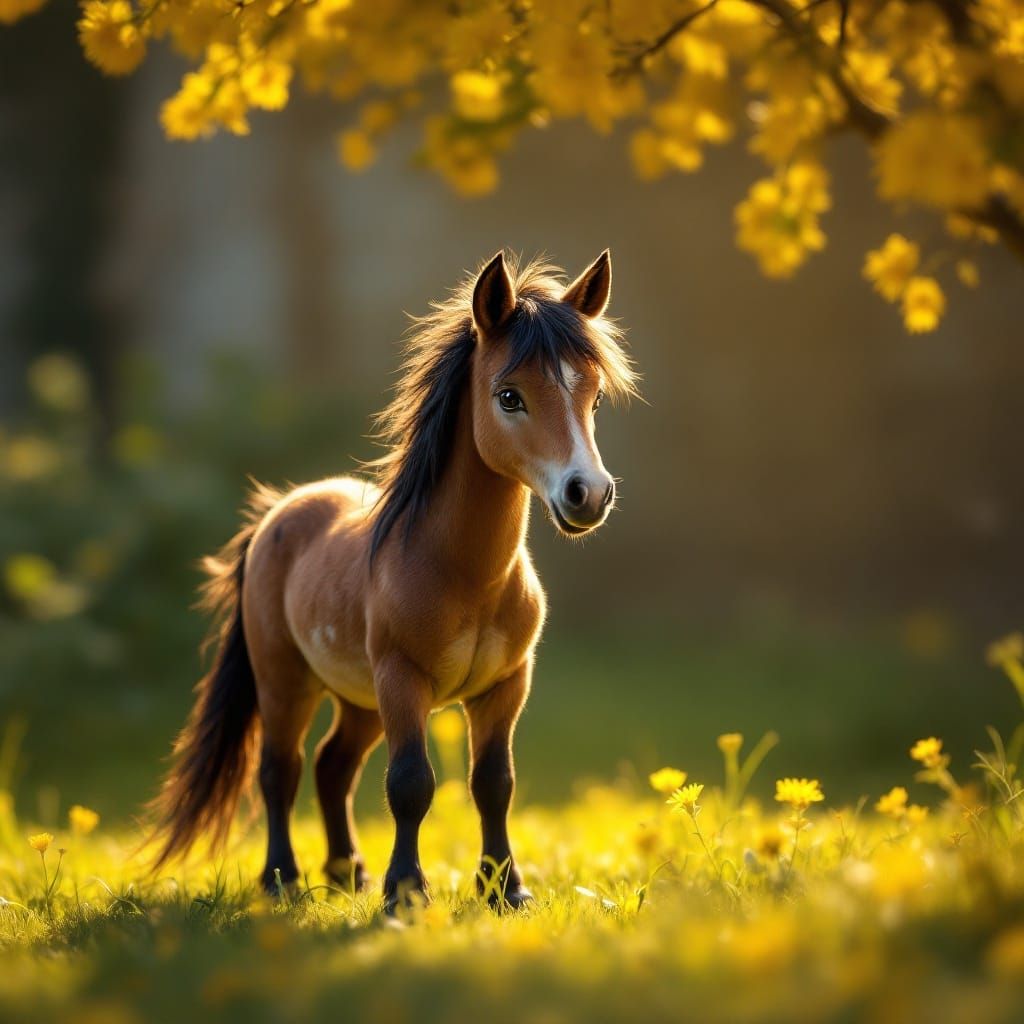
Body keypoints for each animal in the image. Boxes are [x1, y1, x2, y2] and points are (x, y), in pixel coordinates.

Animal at [149, 249, 637, 912]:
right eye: (509, 396)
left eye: (594, 397)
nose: (587, 494)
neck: (465, 575)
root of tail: (279, 511)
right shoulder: (402, 679)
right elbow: (410, 784)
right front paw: (405, 892)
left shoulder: (505, 686)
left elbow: (494, 783)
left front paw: (505, 890)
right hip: (287, 681)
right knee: (281, 769)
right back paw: (282, 878)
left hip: (359, 700)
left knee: (333, 766)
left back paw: (345, 871)